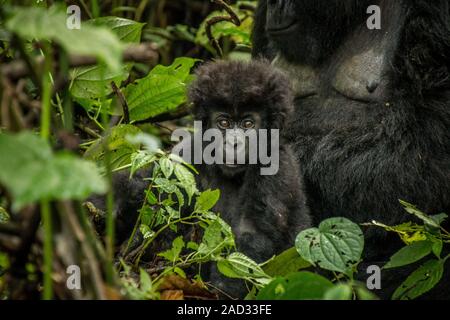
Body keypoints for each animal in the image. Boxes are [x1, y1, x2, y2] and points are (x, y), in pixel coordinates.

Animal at [185, 60, 312, 296]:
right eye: (224, 123)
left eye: (247, 125)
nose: (234, 143)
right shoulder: (188, 152)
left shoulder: (277, 165)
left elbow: (252, 230)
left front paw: (224, 288)